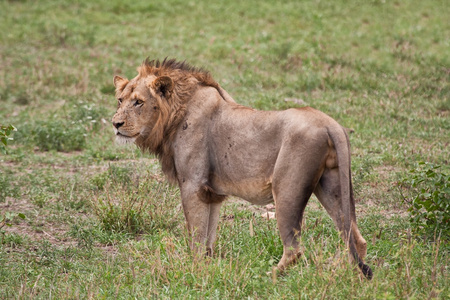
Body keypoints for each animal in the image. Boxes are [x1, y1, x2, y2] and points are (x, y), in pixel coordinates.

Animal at [111, 58, 372, 278]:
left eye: (139, 102)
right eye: (120, 100)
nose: (115, 123)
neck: (174, 116)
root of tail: (330, 125)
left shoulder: (193, 186)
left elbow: (196, 237)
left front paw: (194, 270)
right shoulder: (211, 194)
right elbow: (209, 236)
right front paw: (209, 265)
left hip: (287, 189)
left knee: (294, 249)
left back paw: (270, 276)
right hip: (331, 186)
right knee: (355, 238)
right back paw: (346, 275)